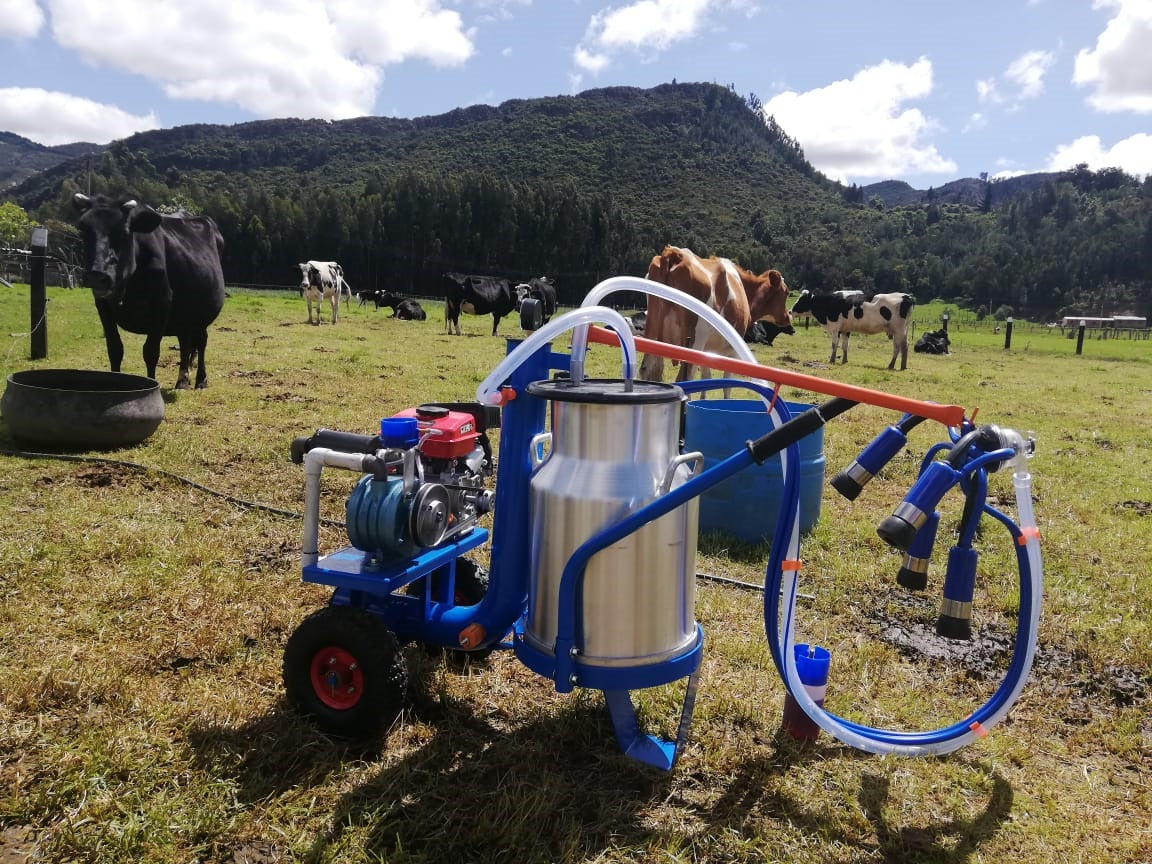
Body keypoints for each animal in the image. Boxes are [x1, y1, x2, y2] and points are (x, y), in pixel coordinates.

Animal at [73, 194, 225, 391]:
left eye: (124, 233)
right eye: (84, 231)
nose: (97, 275)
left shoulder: (162, 305)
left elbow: (151, 352)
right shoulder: (103, 305)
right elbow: (114, 348)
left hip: (203, 313)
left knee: (201, 341)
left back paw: (201, 380)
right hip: (184, 315)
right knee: (185, 342)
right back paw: (182, 380)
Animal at [640, 246, 792, 389]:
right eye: (786, 292)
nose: (788, 316)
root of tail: (673, 253)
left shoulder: (708, 350)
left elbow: (706, 378)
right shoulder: (732, 349)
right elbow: (726, 384)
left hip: (653, 334)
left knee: (648, 370)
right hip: (695, 341)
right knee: (685, 378)